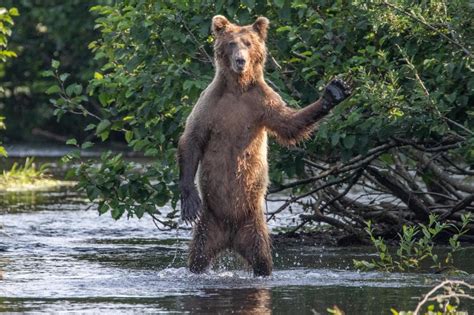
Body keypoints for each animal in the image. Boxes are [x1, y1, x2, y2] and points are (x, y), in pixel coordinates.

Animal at [178, 15, 352, 276]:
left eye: (249, 43)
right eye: (231, 43)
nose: (240, 60)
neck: (237, 89)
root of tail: (230, 236)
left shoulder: (262, 102)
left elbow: (288, 123)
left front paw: (334, 92)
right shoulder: (210, 104)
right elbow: (192, 139)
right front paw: (189, 201)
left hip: (254, 225)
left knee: (262, 259)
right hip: (209, 222)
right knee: (198, 257)